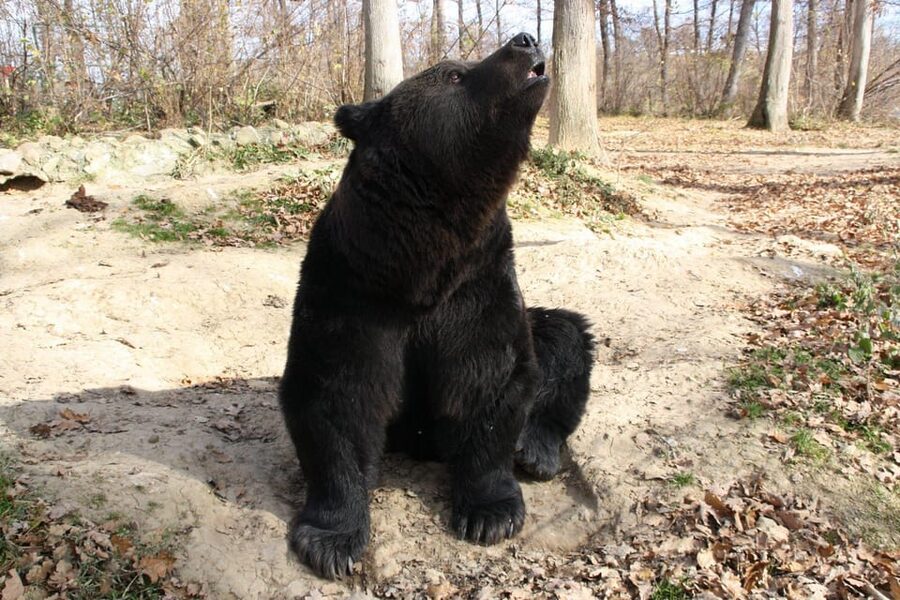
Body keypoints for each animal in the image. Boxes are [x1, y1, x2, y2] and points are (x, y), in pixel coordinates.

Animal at [279, 32, 596, 579]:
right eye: (453, 73)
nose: (526, 40)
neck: (422, 265)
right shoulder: (350, 286)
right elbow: (336, 393)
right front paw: (330, 541)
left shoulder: (478, 283)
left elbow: (490, 377)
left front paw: (489, 513)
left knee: (565, 337)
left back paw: (535, 449)